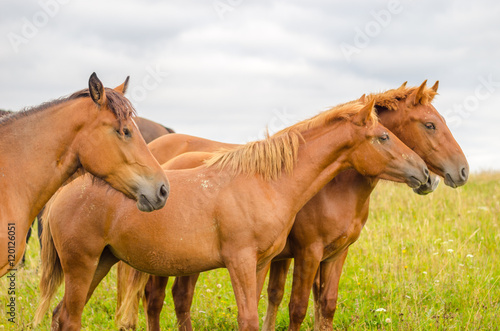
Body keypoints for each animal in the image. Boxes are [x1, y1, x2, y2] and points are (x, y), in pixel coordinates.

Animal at [34, 99, 430, 331]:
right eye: (382, 137)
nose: (425, 173)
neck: (264, 181)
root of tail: (62, 193)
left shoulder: (260, 264)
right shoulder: (240, 261)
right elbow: (251, 319)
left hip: (100, 263)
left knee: (61, 315)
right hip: (83, 266)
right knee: (70, 317)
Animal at [114, 81, 468, 331]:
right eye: (430, 125)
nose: (459, 171)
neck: (336, 188)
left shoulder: (334, 254)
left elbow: (323, 304)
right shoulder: (308, 252)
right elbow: (296, 307)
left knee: (179, 299)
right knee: (154, 300)